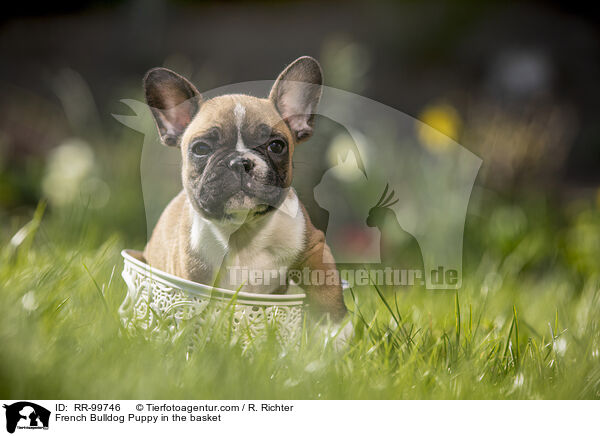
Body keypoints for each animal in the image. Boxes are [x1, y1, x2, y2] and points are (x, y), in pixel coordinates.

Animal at [142, 57, 344, 320]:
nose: (240, 162)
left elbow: (326, 289)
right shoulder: (190, 278)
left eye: (276, 146)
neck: (243, 231)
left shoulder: (313, 248)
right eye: (201, 149)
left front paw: (337, 328)